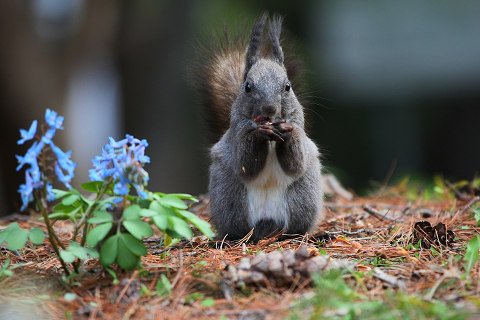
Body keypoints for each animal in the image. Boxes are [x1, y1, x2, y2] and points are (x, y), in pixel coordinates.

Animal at [193, 13, 324, 241]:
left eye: (287, 87)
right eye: (247, 87)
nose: (269, 108)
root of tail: (267, 226)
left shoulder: (299, 127)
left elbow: (296, 163)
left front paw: (286, 132)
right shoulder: (237, 133)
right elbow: (246, 164)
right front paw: (259, 133)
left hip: (303, 197)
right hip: (230, 199)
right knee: (238, 228)